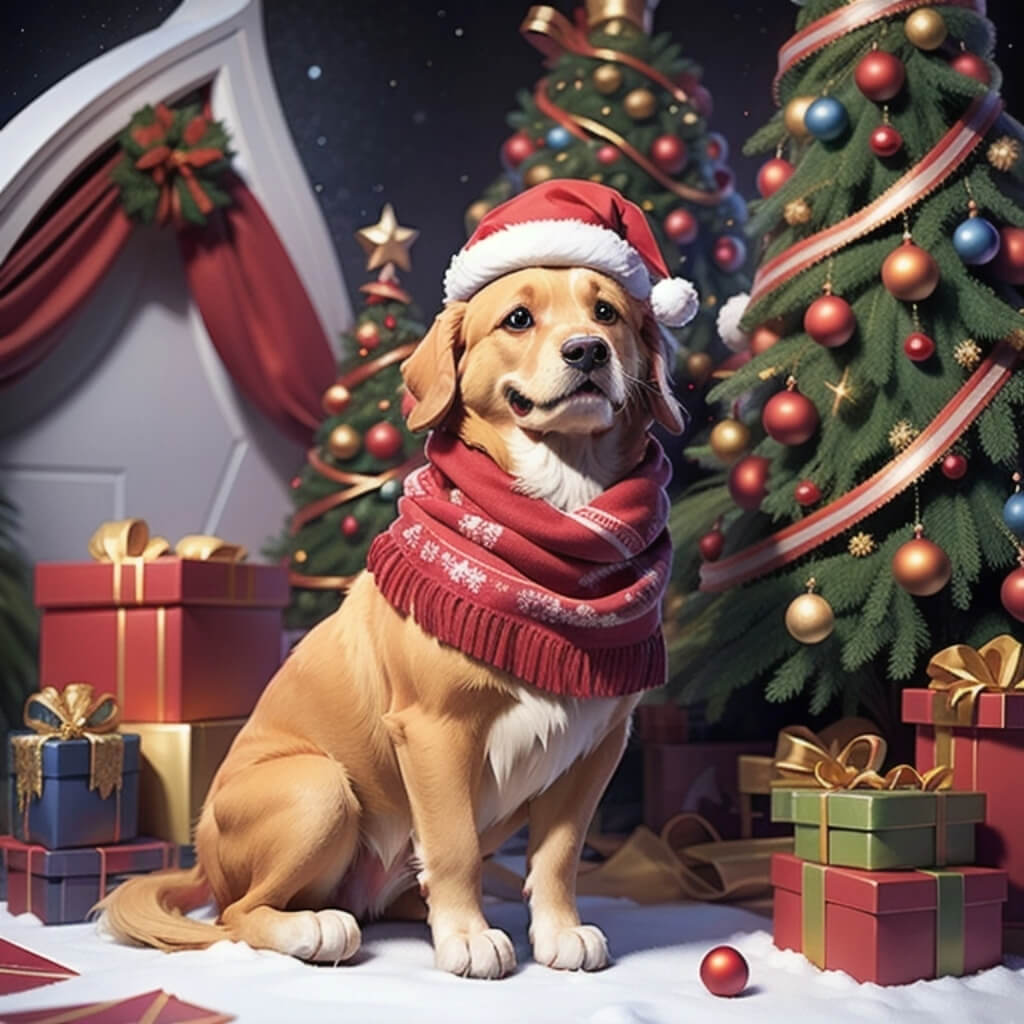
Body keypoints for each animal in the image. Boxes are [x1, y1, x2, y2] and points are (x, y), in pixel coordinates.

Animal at [103, 182, 696, 974]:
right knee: (239, 914)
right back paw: (315, 926)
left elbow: (560, 853)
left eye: (606, 313)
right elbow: (453, 846)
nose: (587, 351)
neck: (557, 517)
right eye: (518, 318)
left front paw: (558, 929)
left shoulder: (599, 743)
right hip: (320, 788)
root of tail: (199, 853)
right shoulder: (436, 732)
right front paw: (468, 936)